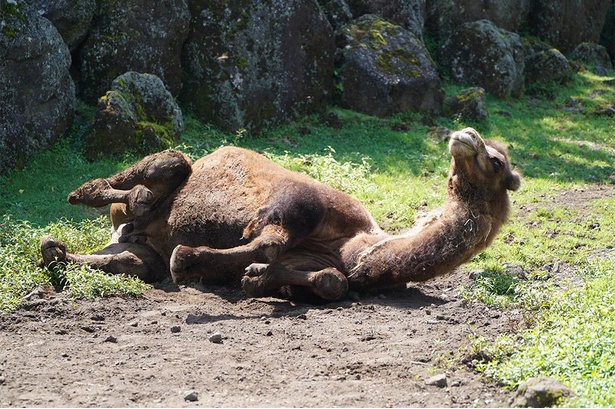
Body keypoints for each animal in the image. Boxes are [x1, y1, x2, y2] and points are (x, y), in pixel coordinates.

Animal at [39, 126, 520, 300]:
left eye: (498, 162)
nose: (465, 134)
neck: (355, 247)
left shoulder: (323, 260)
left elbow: (329, 281)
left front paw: (252, 277)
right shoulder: (298, 203)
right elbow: (268, 240)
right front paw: (193, 259)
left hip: (138, 247)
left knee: (128, 257)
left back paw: (54, 249)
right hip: (167, 172)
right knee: (164, 166)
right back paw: (94, 194)